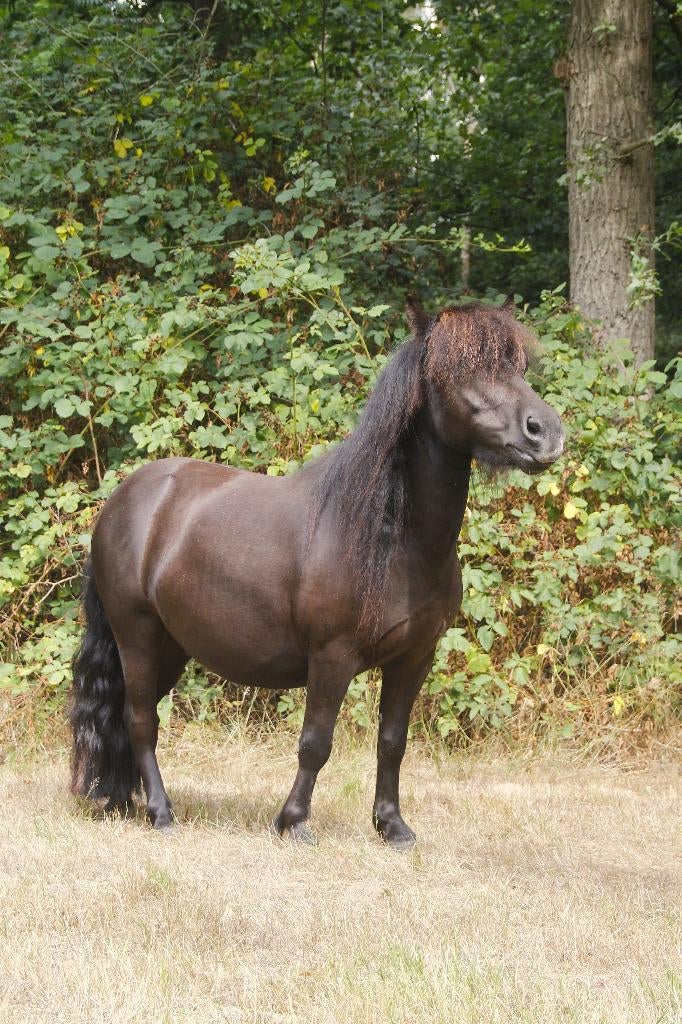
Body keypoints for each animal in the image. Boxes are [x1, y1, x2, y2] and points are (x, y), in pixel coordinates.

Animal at [69, 298, 564, 849]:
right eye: (460, 370)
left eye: (519, 367)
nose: (546, 433)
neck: (391, 540)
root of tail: (123, 500)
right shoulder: (332, 656)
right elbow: (316, 743)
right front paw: (294, 822)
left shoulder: (414, 658)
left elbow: (392, 742)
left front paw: (392, 827)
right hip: (135, 636)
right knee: (140, 722)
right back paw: (160, 812)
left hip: (170, 646)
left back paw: (123, 802)